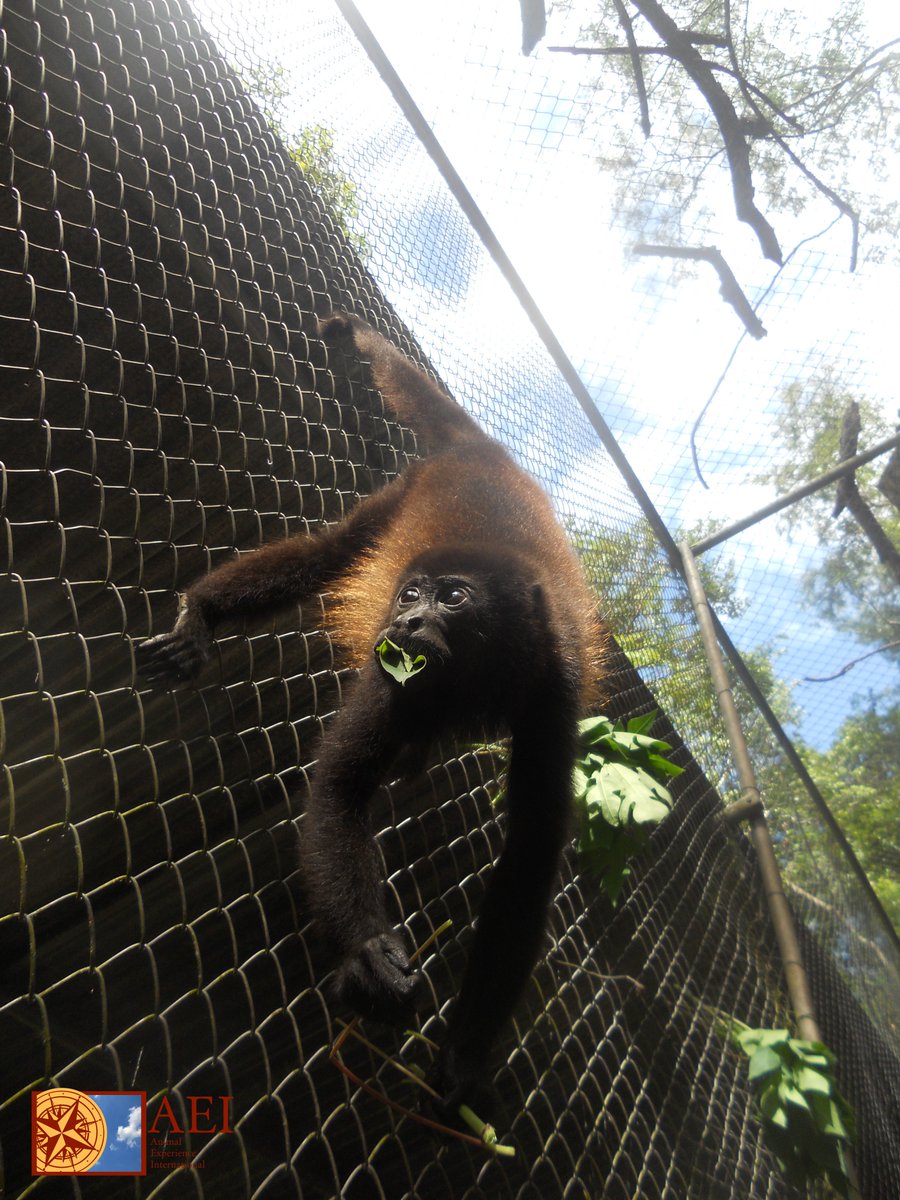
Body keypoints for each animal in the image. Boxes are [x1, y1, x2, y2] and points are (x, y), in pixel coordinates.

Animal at [136, 313, 605, 1113]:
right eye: (411, 593)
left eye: (453, 598)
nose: (408, 620)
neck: (481, 670)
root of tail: (483, 452)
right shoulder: (394, 673)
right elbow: (341, 786)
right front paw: (365, 953)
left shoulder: (554, 686)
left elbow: (530, 855)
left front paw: (465, 1055)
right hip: (403, 494)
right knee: (337, 549)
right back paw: (205, 609)